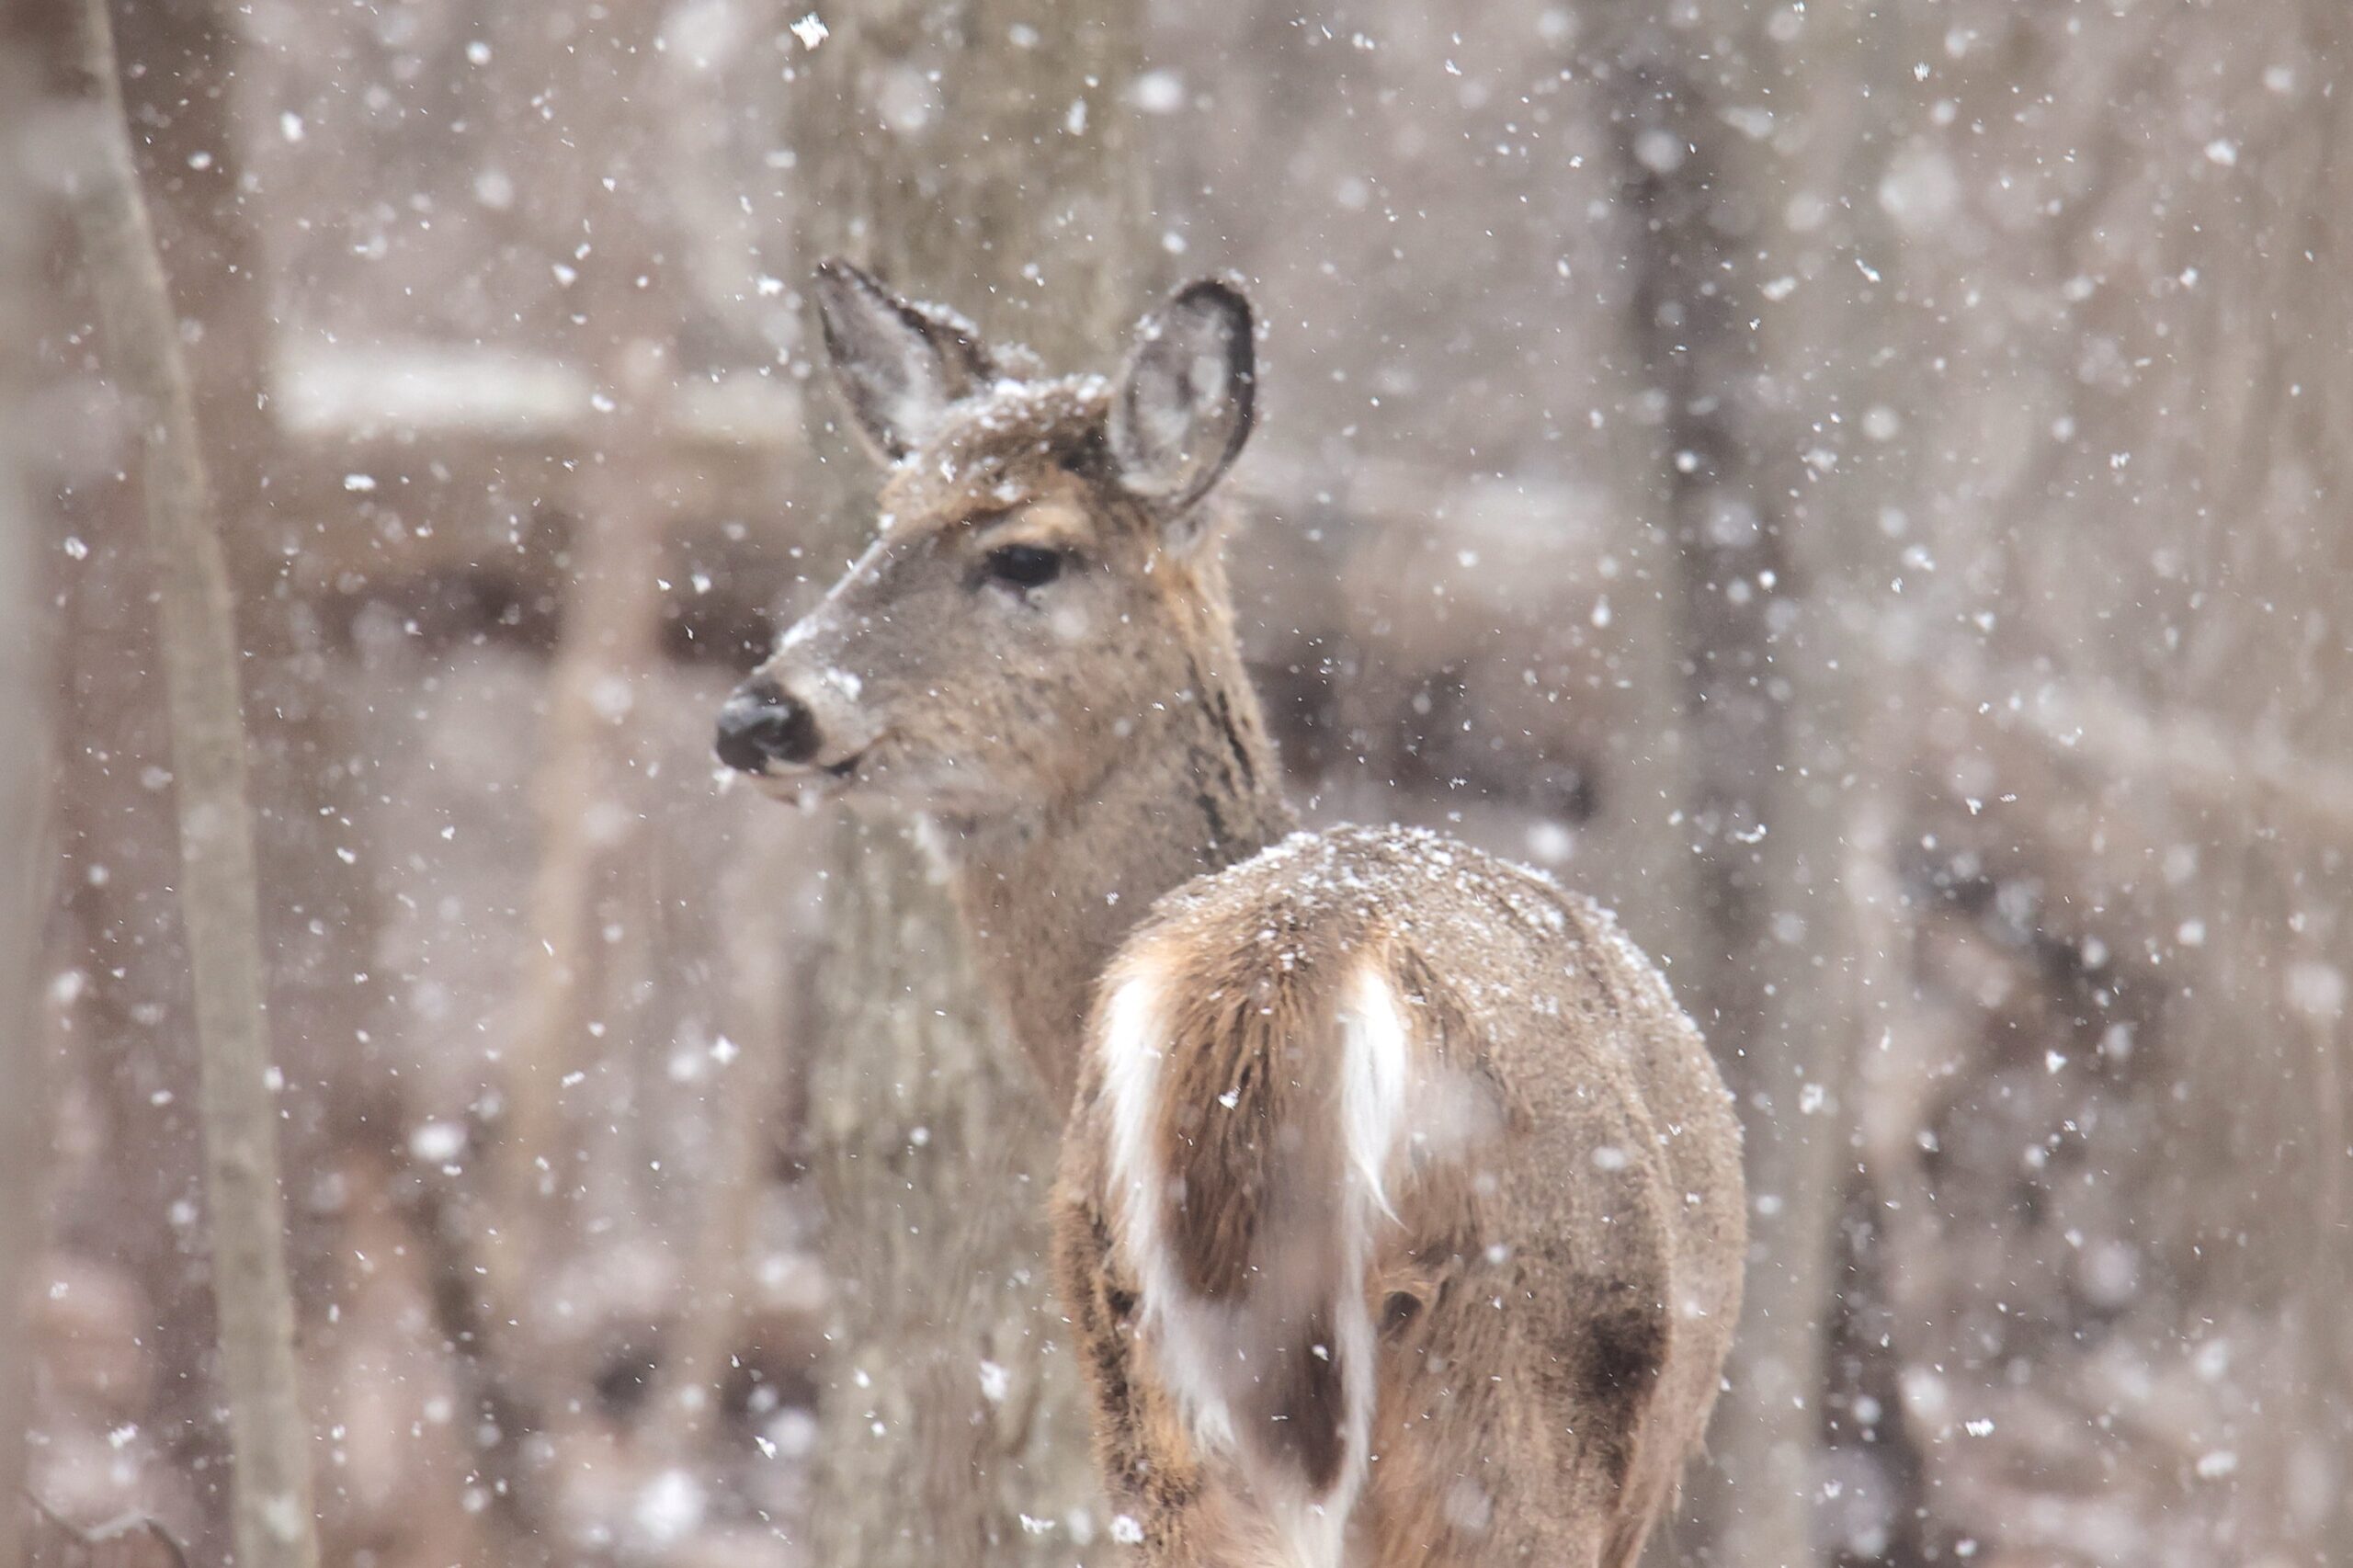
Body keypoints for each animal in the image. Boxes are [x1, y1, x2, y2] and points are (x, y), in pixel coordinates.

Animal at [715, 266, 1750, 1562]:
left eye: (1027, 555)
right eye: (886, 516)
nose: (758, 714)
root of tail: (1290, 968)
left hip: (1150, 1366)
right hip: (1516, 1370)